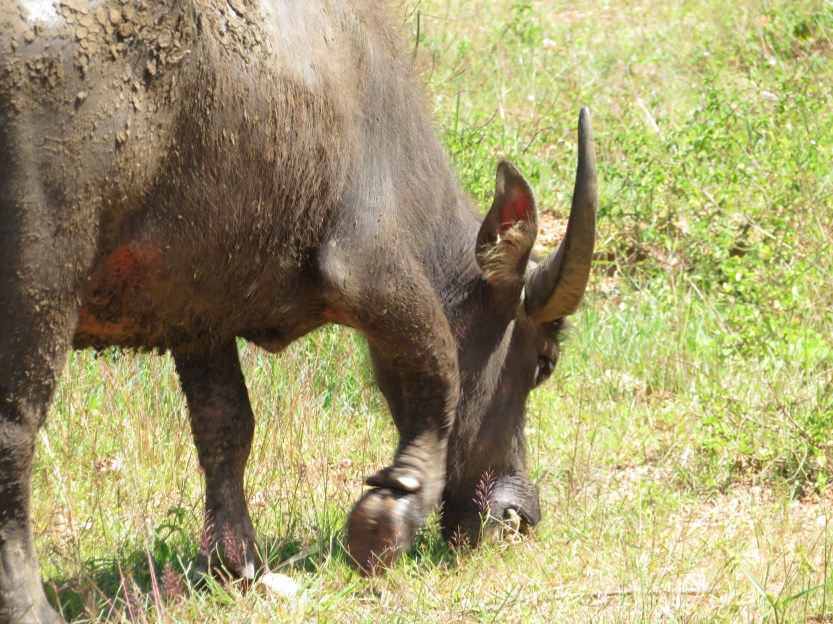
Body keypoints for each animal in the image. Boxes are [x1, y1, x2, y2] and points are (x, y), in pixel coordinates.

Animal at [0, 0, 597, 620]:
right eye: (543, 362)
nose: (520, 515)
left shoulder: (198, 313)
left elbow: (226, 426)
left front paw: (233, 563)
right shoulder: (368, 263)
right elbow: (440, 369)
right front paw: (391, 512)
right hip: (41, 275)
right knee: (13, 437)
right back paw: (29, 605)